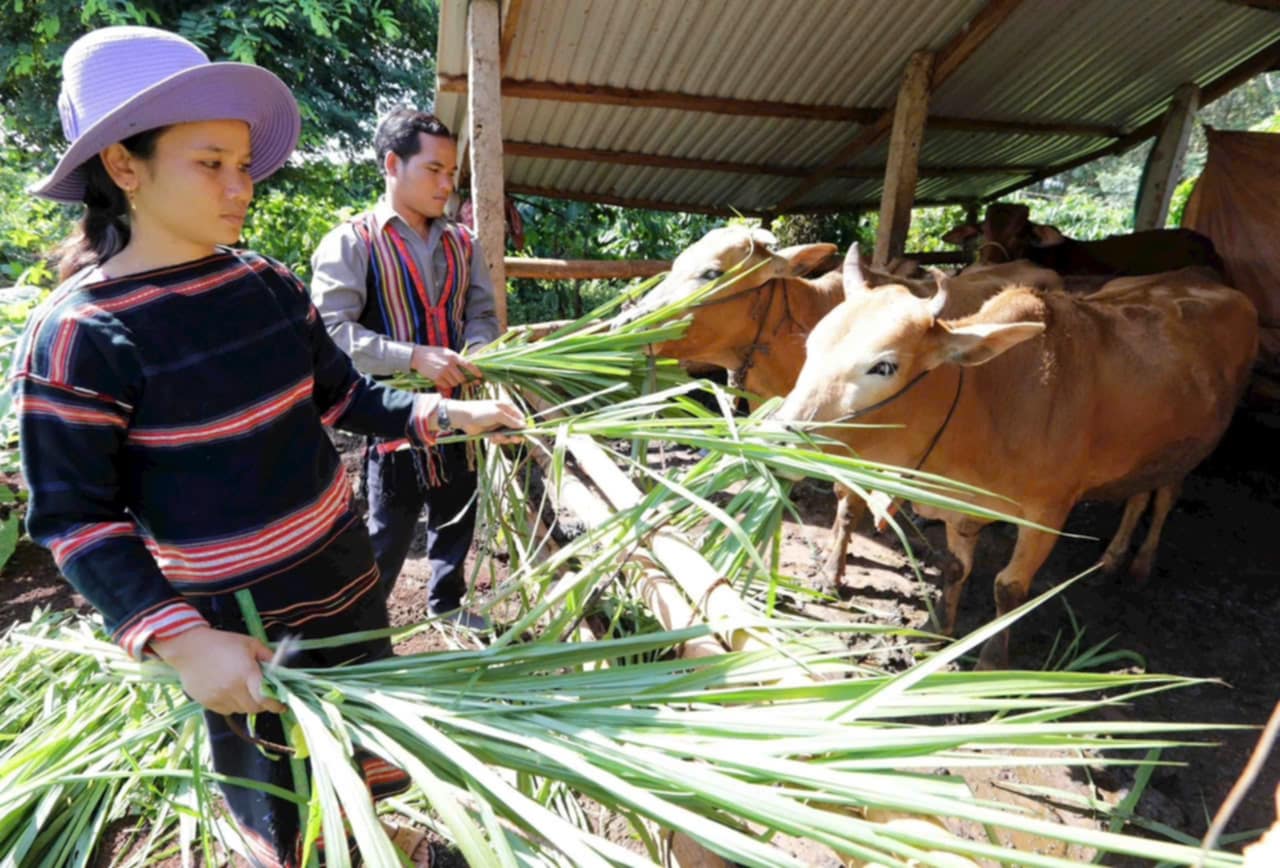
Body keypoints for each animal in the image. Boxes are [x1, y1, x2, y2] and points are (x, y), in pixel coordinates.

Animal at [768, 248, 1259, 670]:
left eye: (884, 366)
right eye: (812, 345)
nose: (775, 440)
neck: (987, 404)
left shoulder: (1047, 514)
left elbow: (1009, 587)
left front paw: (990, 660)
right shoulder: (961, 507)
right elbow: (955, 568)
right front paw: (936, 629)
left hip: (1188, 453)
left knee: (1163, 500)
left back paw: (1139, 564)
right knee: (1138, 496)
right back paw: (1112, 559)